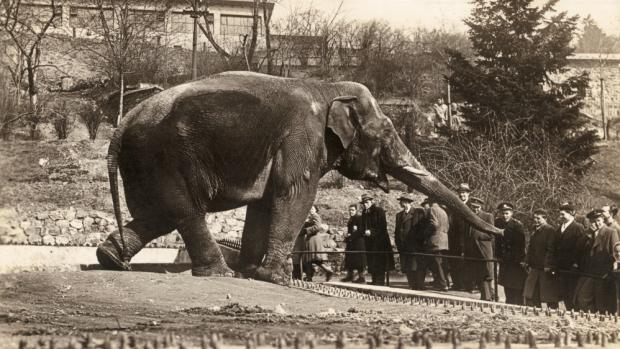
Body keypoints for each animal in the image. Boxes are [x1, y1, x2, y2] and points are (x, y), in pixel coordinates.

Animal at [98, 70, 504, 282]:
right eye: (386, 136)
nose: (499, 229)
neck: (327, 87)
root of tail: (122, 124)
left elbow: (265, 202)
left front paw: (253, 272)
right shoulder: (302, 136)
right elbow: (294, 194)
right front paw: (276, 278)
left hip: (146, 163)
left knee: (160, 214)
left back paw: (110, 259)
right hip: (166, 156)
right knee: (184, 211)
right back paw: (219, 274)